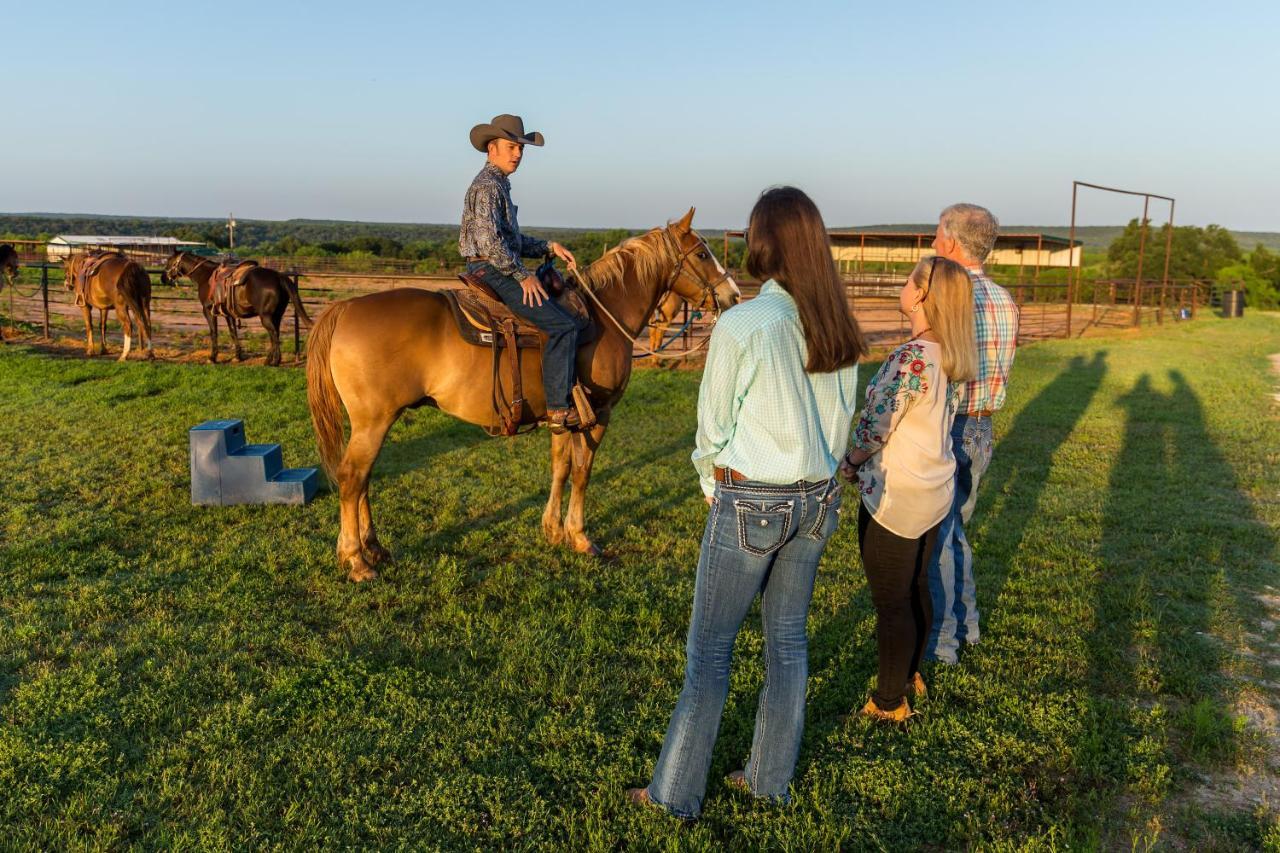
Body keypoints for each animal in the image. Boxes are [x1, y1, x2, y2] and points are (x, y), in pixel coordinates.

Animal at [161, 247, 313, 363]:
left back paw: (275, 361)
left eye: (169, 261)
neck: (205, 276)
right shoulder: (228, 314)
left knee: (274, 334)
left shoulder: (208, 311)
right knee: (275, 334)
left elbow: (214, 332)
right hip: (277, 315)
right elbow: (233, 332)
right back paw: (269, 360)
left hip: (265, 316)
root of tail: (279, 277)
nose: (163, 278)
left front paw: (212, 358)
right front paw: (238, 356)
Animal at [305, 207, 742, 578]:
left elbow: (560, 468)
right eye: (702, 253)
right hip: (373, 421)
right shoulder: (599, 414)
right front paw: (580, 537)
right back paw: (356, 560)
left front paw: (553, 530)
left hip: (375, 422)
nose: (734, 295)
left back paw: (374, 548)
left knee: (364, 478)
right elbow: (582, 473)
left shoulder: (562, 415)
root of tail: (345, 308)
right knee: (351, 477)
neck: (603, 315)